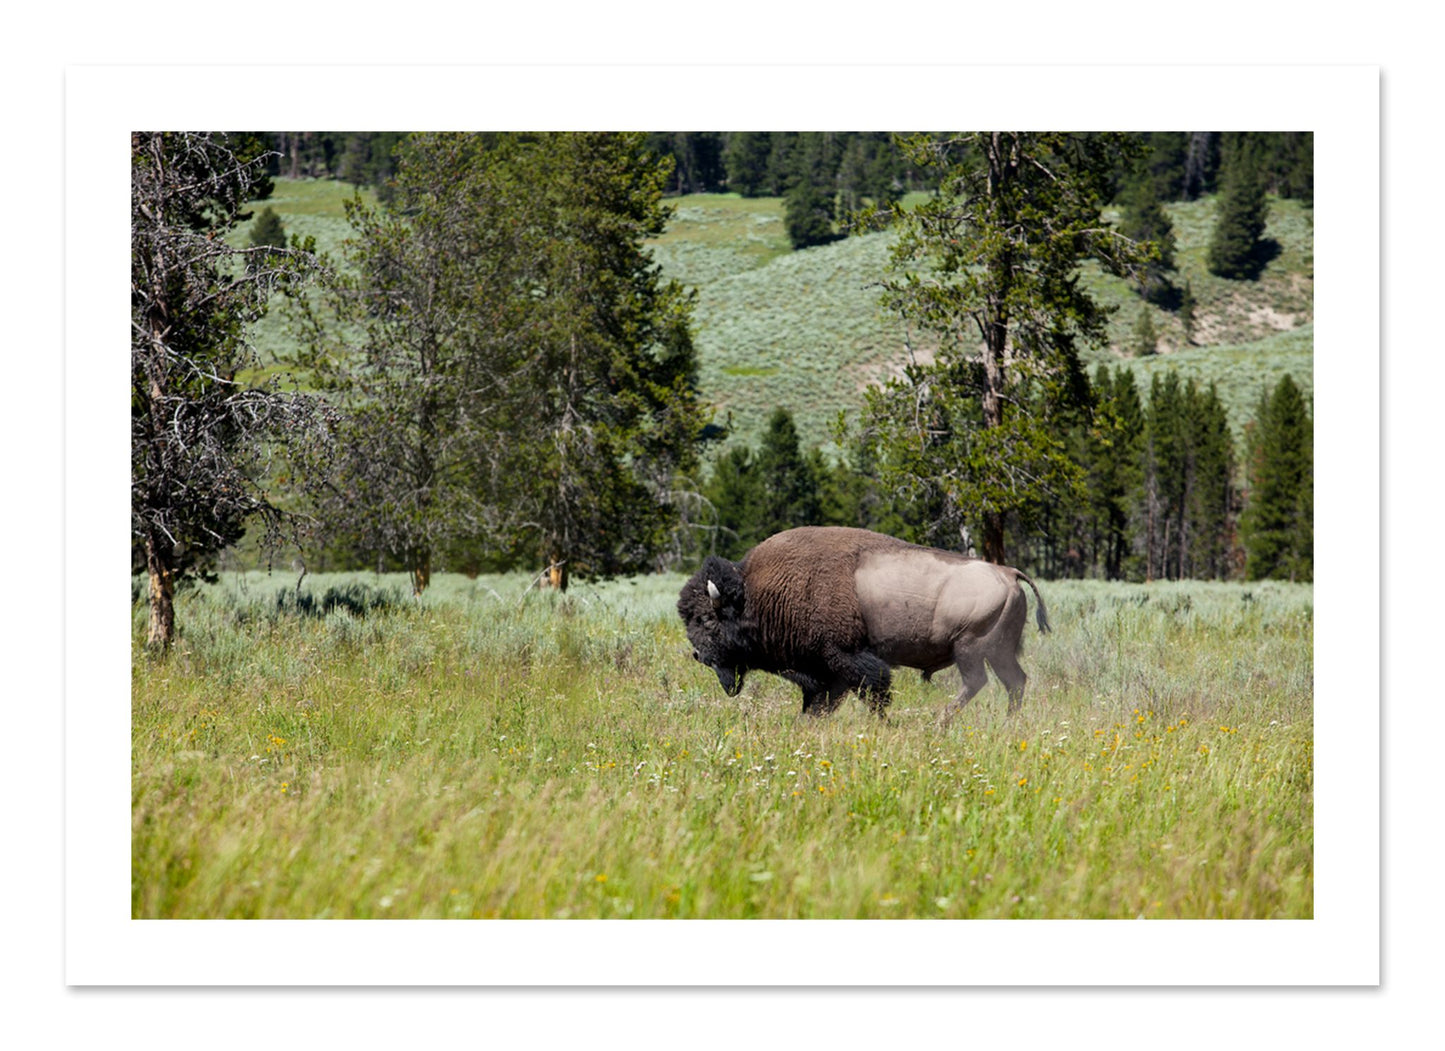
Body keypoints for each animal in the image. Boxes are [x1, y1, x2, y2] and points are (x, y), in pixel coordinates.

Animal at [677, 526, 1050, 718]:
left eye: (706, 619)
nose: (698, 655)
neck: (756, 593)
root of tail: (1008, 572)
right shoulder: (825, 673)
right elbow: (819, 704)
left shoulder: (846, 659)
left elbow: (874, 692)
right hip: (998, 652)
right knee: (1014, 682)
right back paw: (1007, 722)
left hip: (970, 648)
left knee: (977, 682)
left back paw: (939, 722)